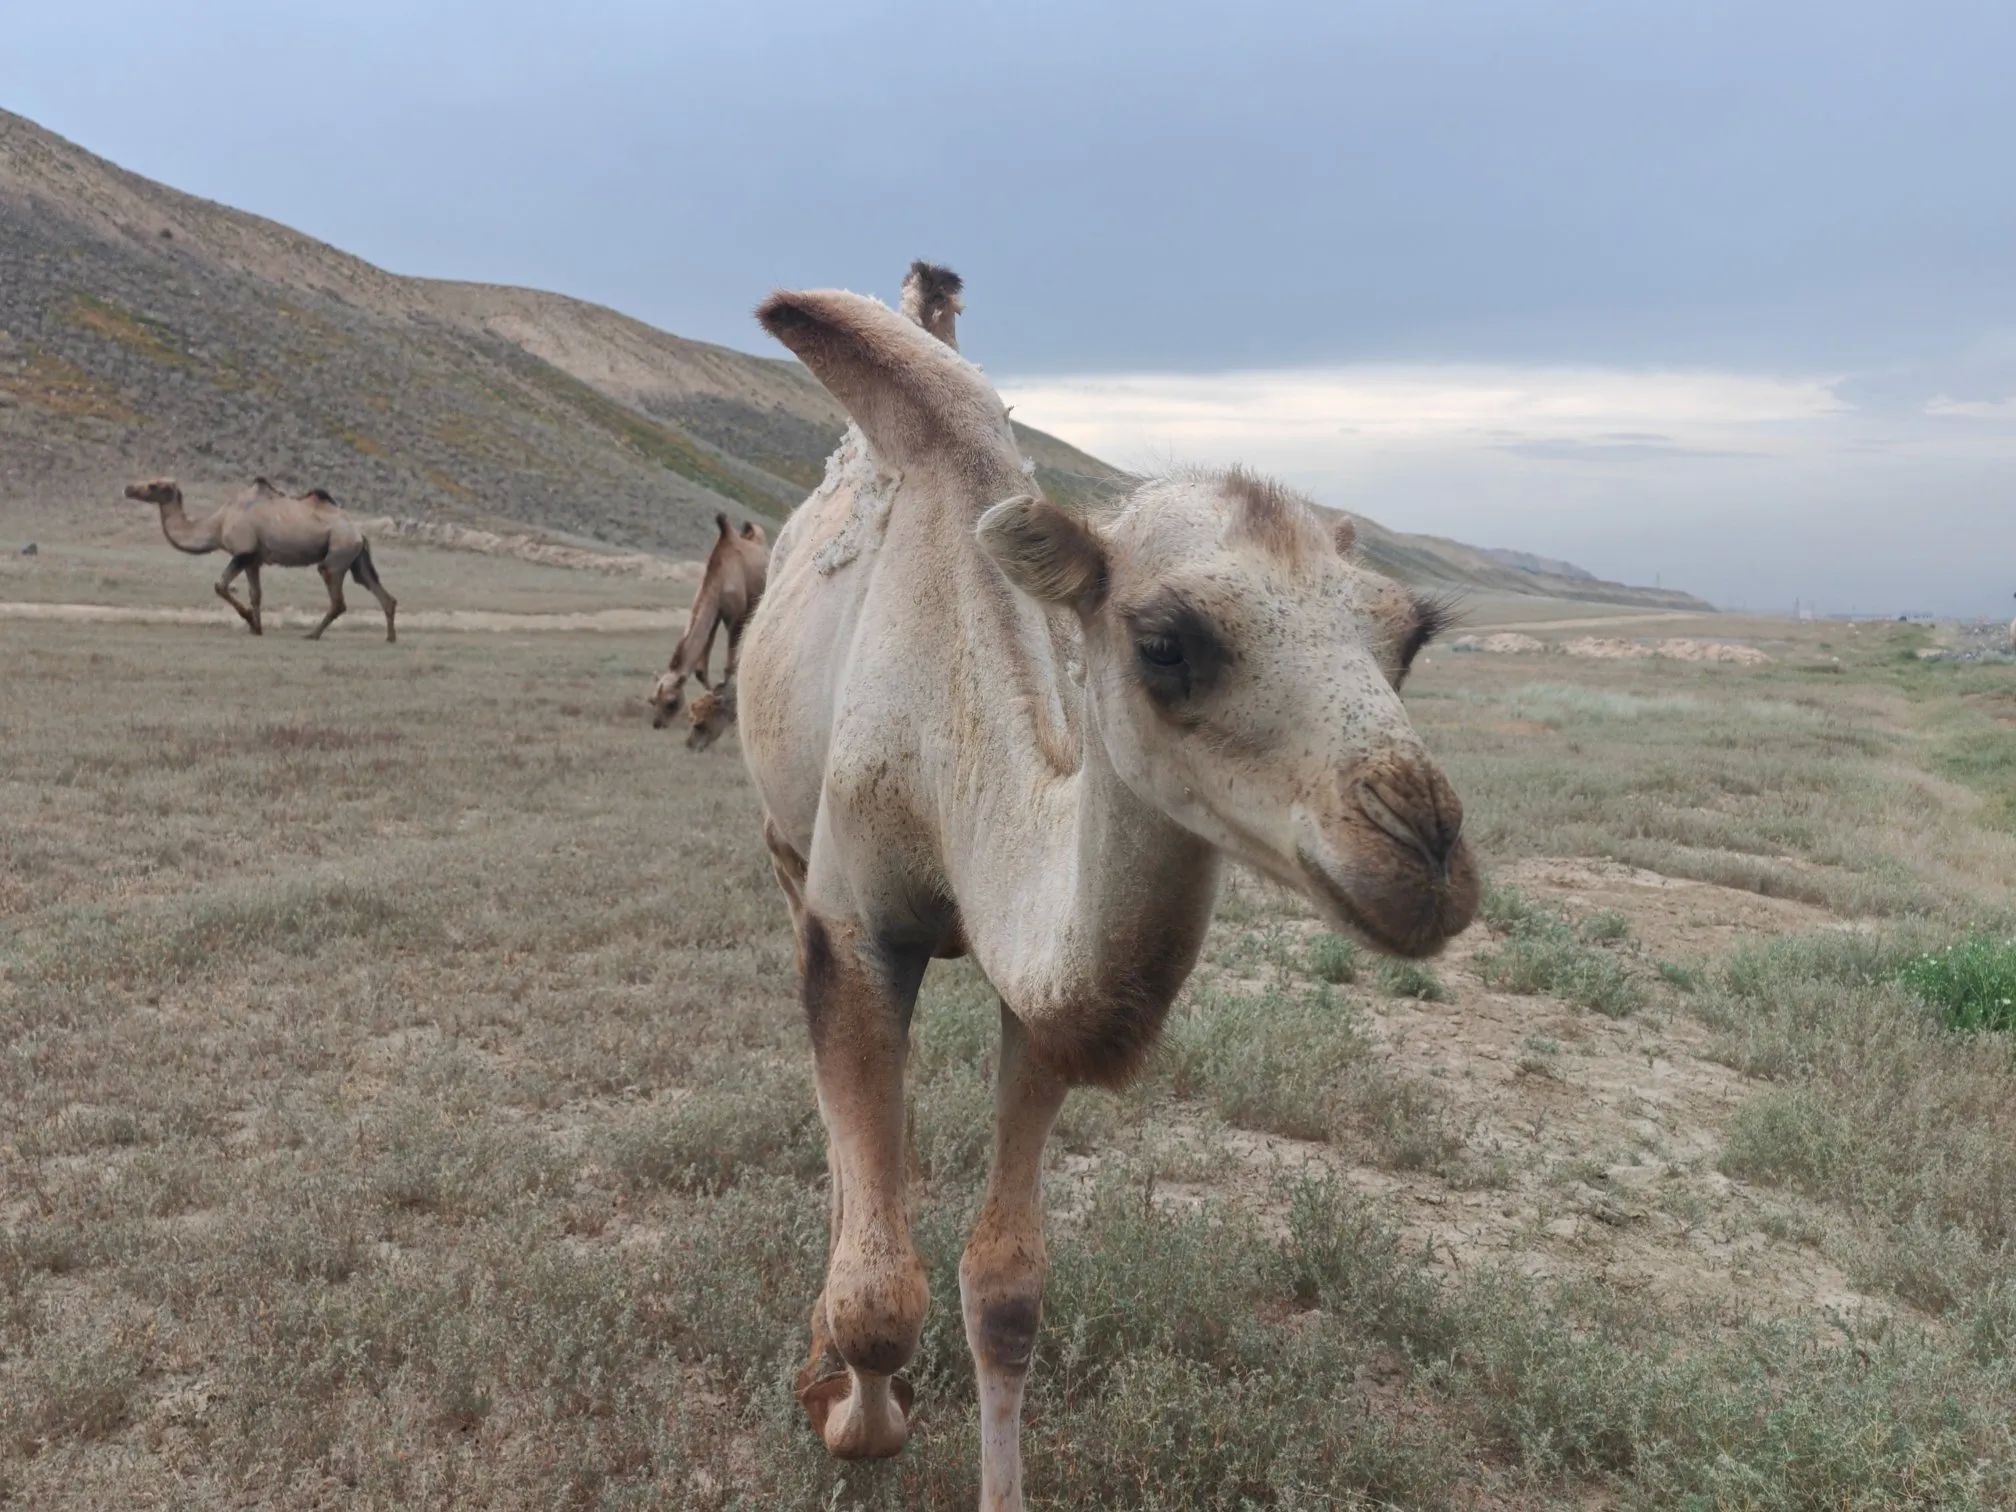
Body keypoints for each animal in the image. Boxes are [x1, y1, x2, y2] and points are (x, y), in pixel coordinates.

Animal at [124, 477, 397, 641]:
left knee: (336, 595)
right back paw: (390, 637)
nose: (128, 488)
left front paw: (248, 619)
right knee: (377, 589)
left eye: (153, 485)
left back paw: (312, 634)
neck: (217, 524)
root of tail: (359, 532)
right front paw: (257, 628)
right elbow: (256, 595)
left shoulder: (242, 552)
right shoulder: (254, 559)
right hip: (356, 557)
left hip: (338, 552)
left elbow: (220, 585)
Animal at [647, 514, 769, 728]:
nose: (657, 723)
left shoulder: (735, 618)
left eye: (671, 702)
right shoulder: (714, 614)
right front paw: (711, 697)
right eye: (652, 700)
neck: (718, 579)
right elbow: (700, 670)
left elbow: (729, 664)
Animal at [736, 282, 1477, 1510]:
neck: (955, 765)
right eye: (1165, 641)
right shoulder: (856, 923)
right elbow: (882, 1298)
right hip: (786, 848)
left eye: (1408, 637)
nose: (1424, 853)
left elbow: (1006, 1290)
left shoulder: (1039, 991)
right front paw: (843, 1407)